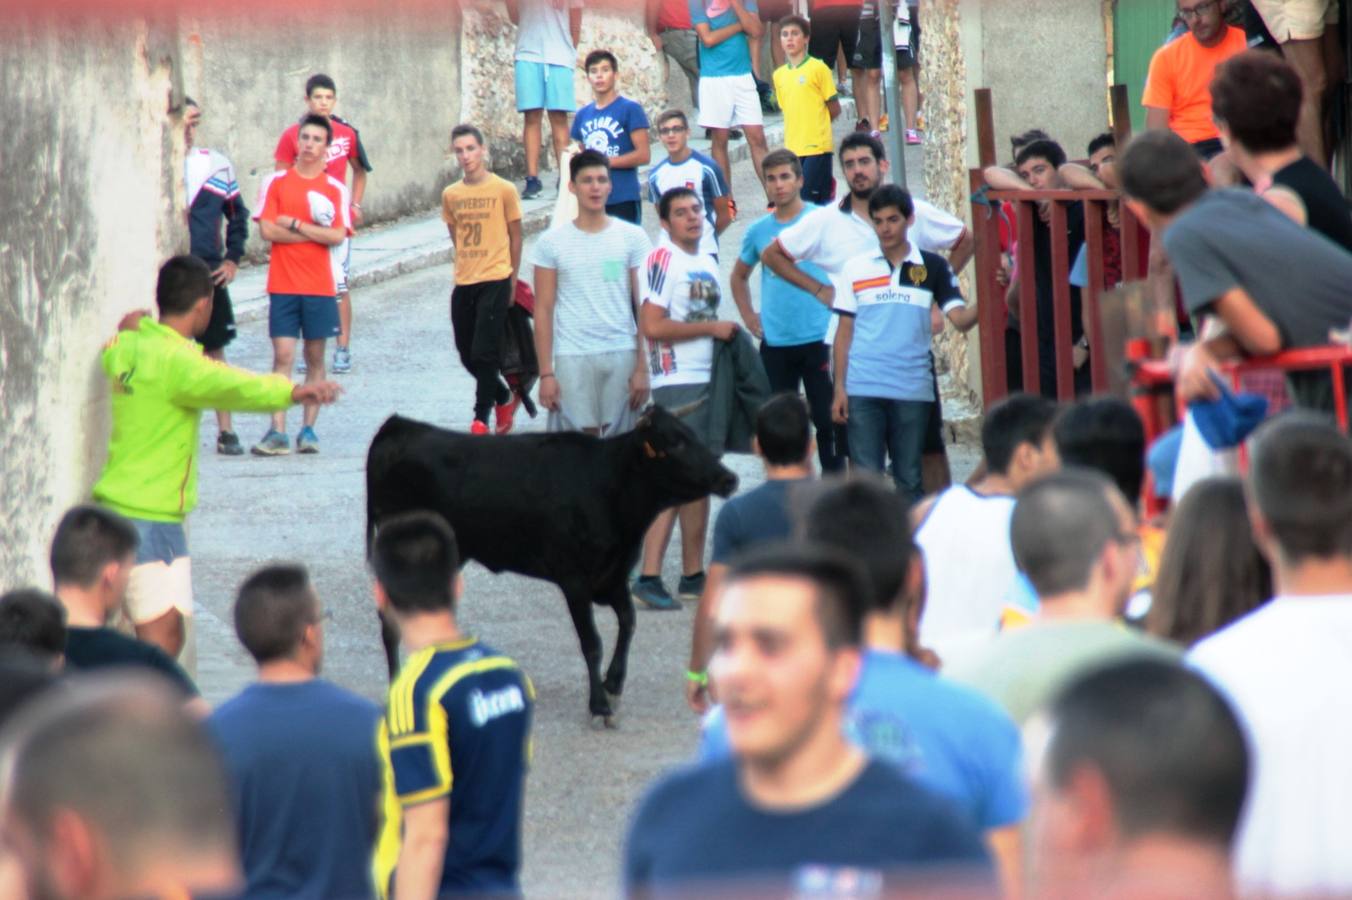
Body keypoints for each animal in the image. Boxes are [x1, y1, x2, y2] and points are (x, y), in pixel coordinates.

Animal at [365, 405, 735, 724]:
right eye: (675, 442)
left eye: (693, 435)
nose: (728, 478)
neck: (607, 485)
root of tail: (398, 427)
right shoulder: (575, 580)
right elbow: (592, 643)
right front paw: (599, 705)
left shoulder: (612, 577)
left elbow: (628, 623)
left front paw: (613, 684)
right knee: (389, 623)